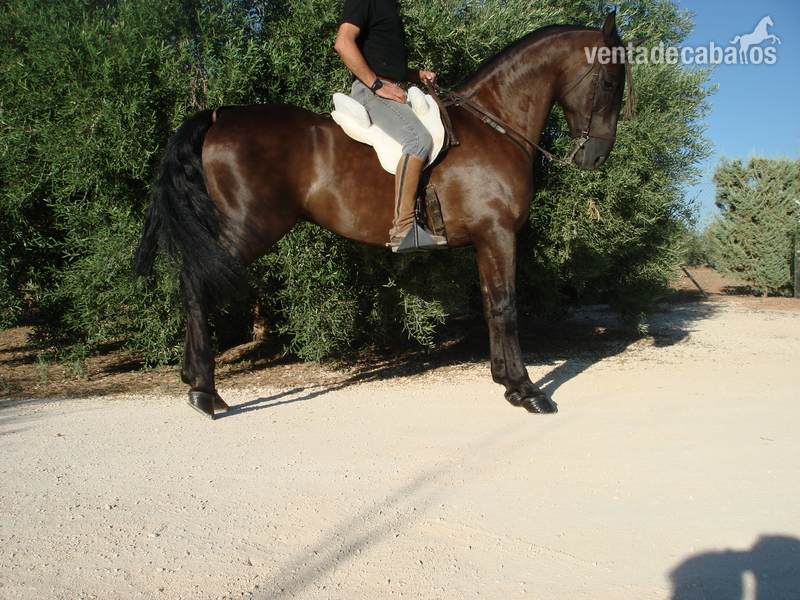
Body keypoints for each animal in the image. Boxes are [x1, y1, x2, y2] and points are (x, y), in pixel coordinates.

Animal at [134, 11, 640, 420]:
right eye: (610, 82)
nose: (596, 158)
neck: (495, 123)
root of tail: (220, 115)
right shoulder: (498, 234)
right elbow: (505, 306)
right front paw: (526, 390)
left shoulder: (485, 240)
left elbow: (490, 305)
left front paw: (506, 382)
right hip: (246, 230)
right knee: (197, 286)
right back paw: (204, 393)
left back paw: (197, 384)